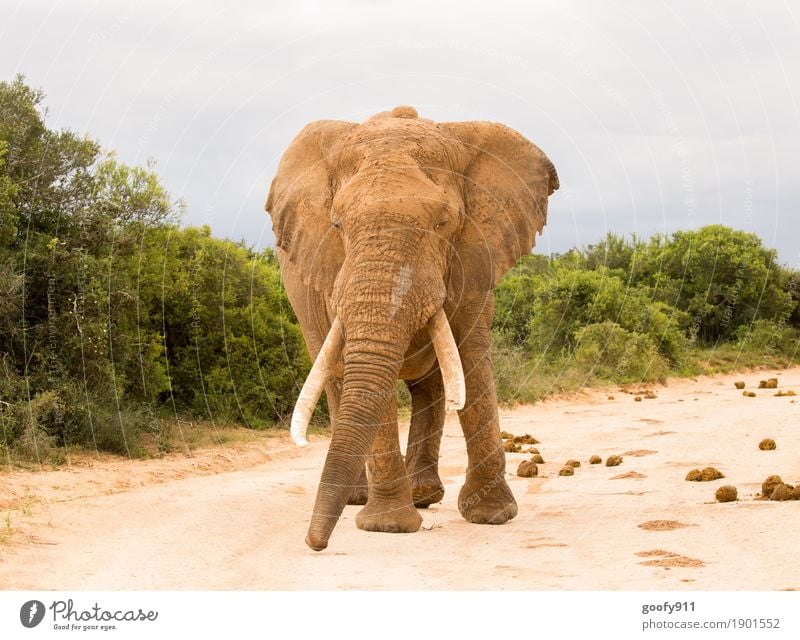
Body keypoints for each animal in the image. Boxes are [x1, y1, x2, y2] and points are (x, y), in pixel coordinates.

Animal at [266, 105, 560, 552]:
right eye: (337, 225)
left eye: (444, 223)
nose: (315, 544)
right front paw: (387, 526)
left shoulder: (473, 260)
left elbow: (471, 362)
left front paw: (492, 516)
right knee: (335, 377)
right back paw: (359, 498)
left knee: (432, 384)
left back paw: (423, 495)